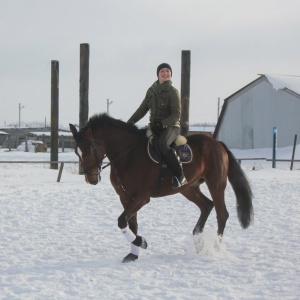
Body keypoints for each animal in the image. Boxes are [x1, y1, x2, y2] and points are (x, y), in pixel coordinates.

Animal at [69, 113, 253, 264]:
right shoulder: (125, 197)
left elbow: (122, 221)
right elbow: (131, 224)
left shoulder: (141, 197)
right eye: (78, 151)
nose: (91, 179)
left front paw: (141, 242)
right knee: (207, 205)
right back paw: (198, 241)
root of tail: (217, 143)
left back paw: (214, 247)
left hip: (216, 184)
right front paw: (134, 252)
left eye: (90, 149)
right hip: (188, 188)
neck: (128, 155)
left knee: (222, 214)